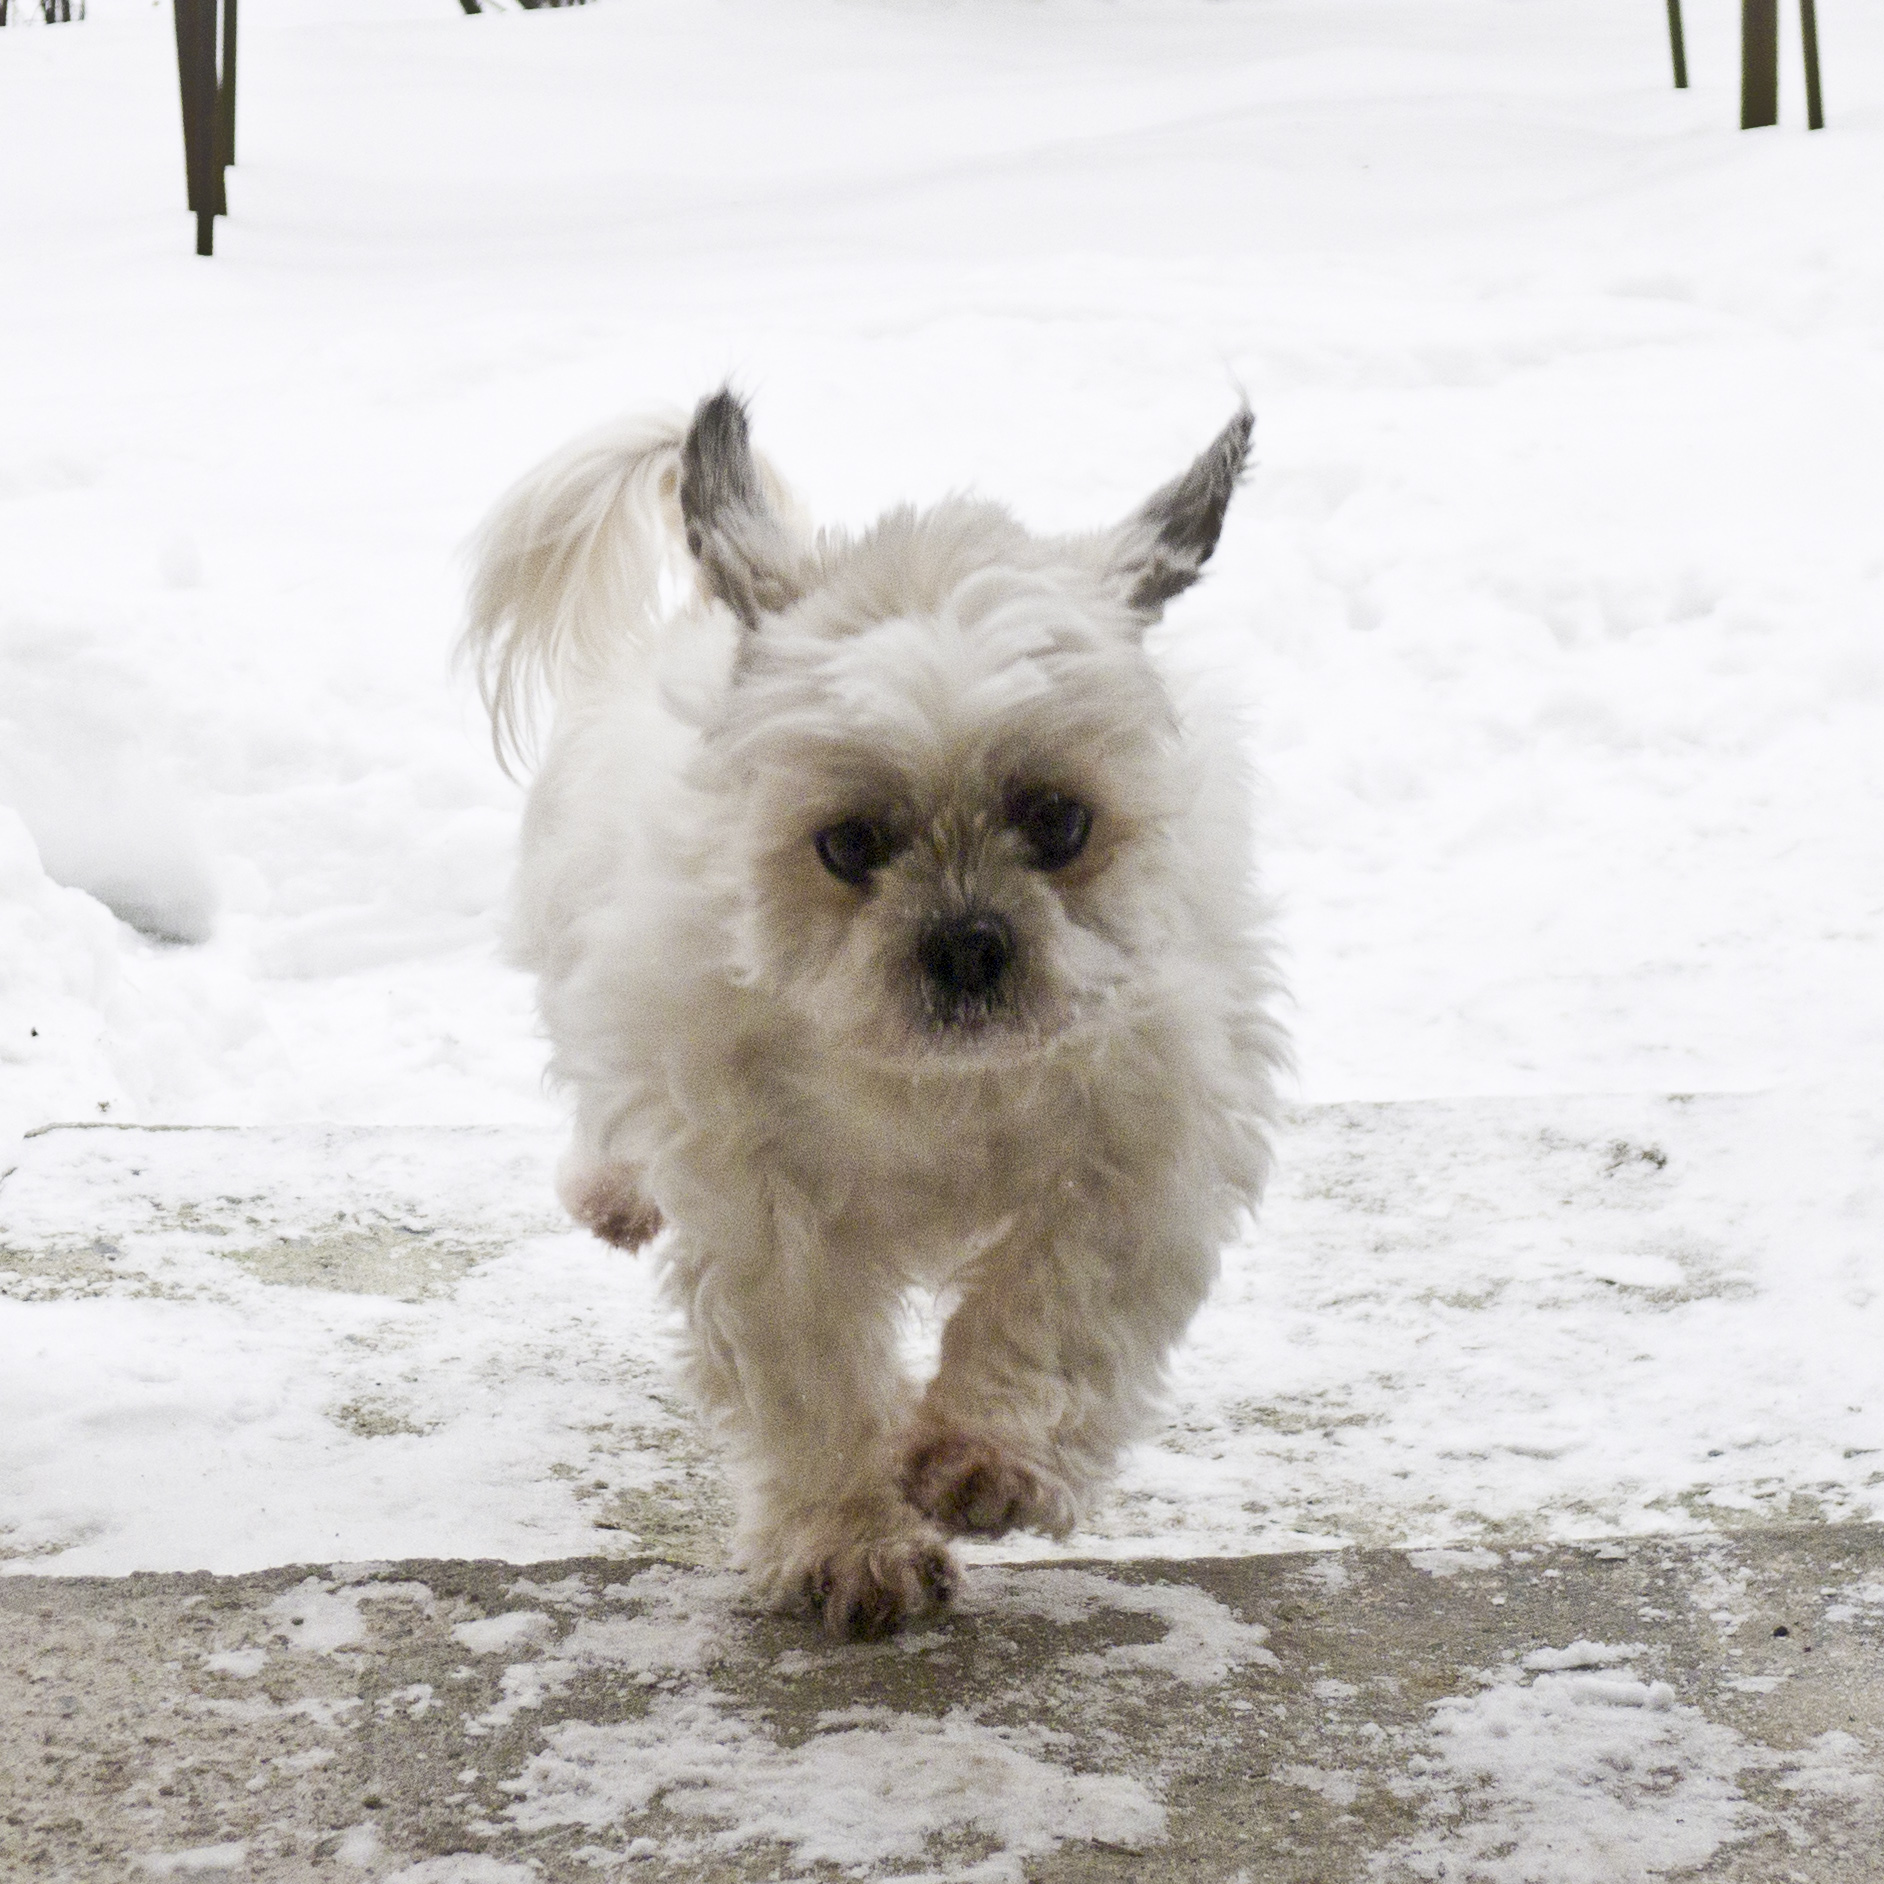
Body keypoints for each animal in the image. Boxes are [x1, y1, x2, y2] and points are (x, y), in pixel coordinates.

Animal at [463, 393, 1288, 1635]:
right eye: (849, 844)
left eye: (1060, 821)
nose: (968, 943)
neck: (936, 1085)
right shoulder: (760, 1201)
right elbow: (810, 1375)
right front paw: (850, 1543)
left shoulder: (1144, 1152)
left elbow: (1058, 1301)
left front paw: (985, 1457)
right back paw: (613, 1185)